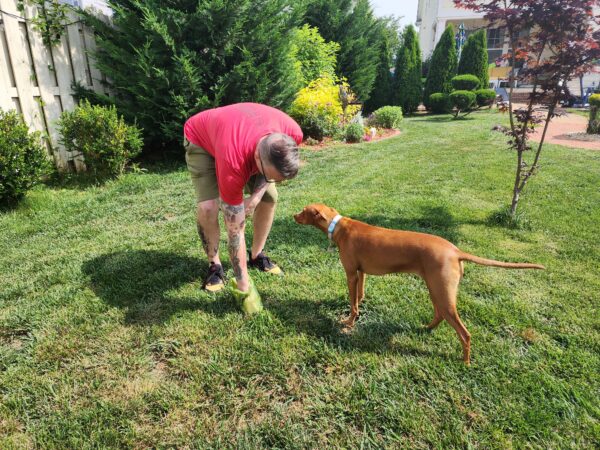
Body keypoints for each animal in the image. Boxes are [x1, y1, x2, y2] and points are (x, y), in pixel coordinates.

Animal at [292, 202, 548, 364]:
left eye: (303, 210)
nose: (293, 216)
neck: (338, 226)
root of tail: (456, 251)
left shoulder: (350, 274)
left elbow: (353, 304)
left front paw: (348, 322)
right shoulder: (360, 272)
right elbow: (360, 296)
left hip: (442, 294)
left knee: (464, 333)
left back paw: (465, 362)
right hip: (436, 289)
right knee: (439, 315)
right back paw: (426, 329)